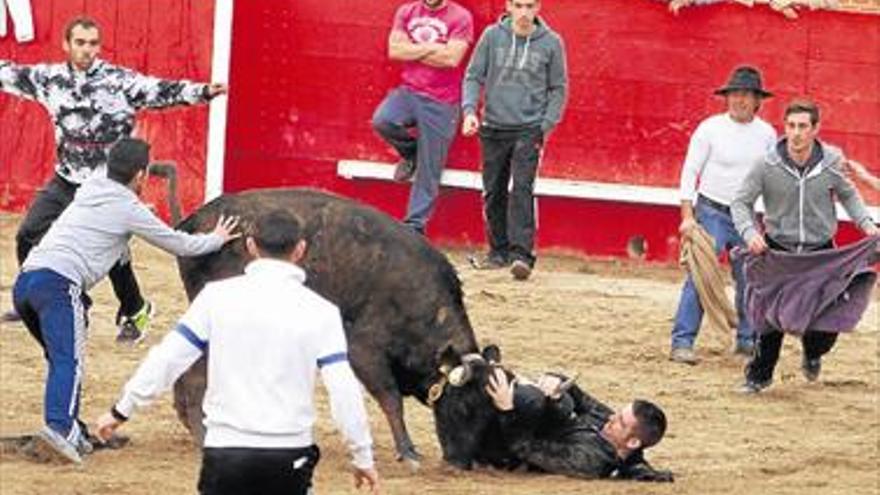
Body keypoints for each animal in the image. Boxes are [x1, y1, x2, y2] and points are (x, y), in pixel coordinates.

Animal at [170, 188, 496, 466]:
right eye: (465, 407)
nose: (467, 462)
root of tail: (193, 222)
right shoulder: (364, 351)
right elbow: (391, 399)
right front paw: (407, 451)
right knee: (196, 374)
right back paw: (201, 432)